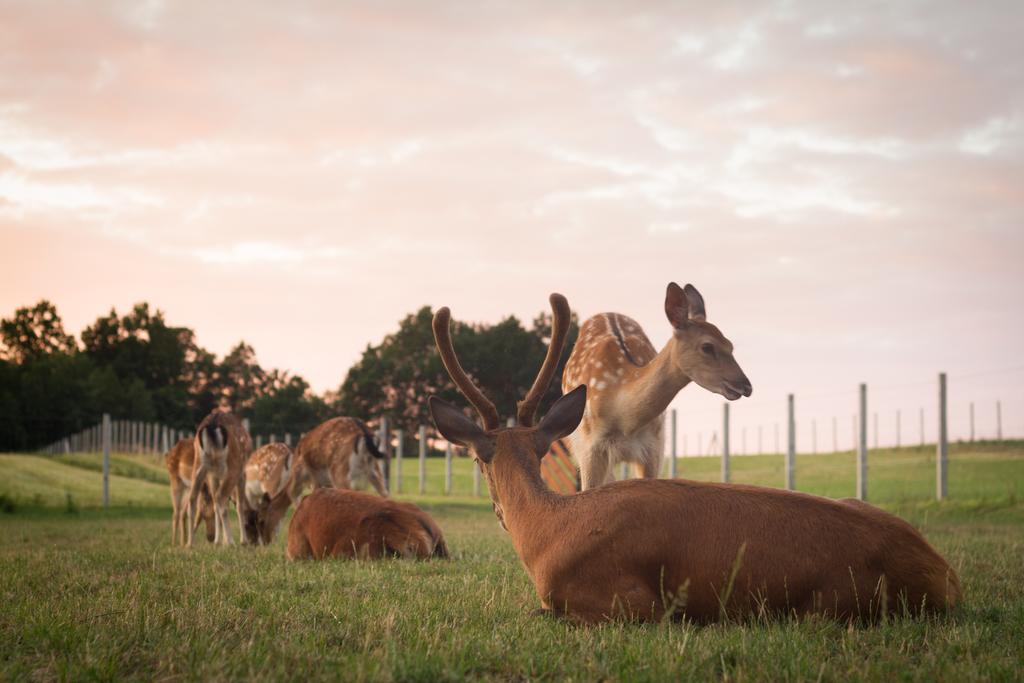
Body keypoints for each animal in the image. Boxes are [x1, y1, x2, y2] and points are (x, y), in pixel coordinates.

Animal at [188, 409, 253, 548]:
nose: (210, 537)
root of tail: (212, 426)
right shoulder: (241, 473)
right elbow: (239, 505)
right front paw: (242, 541)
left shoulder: (213, 475)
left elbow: (216, 506)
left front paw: (218, 542)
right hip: (233, 465)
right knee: (220, 496)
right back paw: (232, 542)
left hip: (199, 464)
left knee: (193, 498)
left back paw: (190, 544)